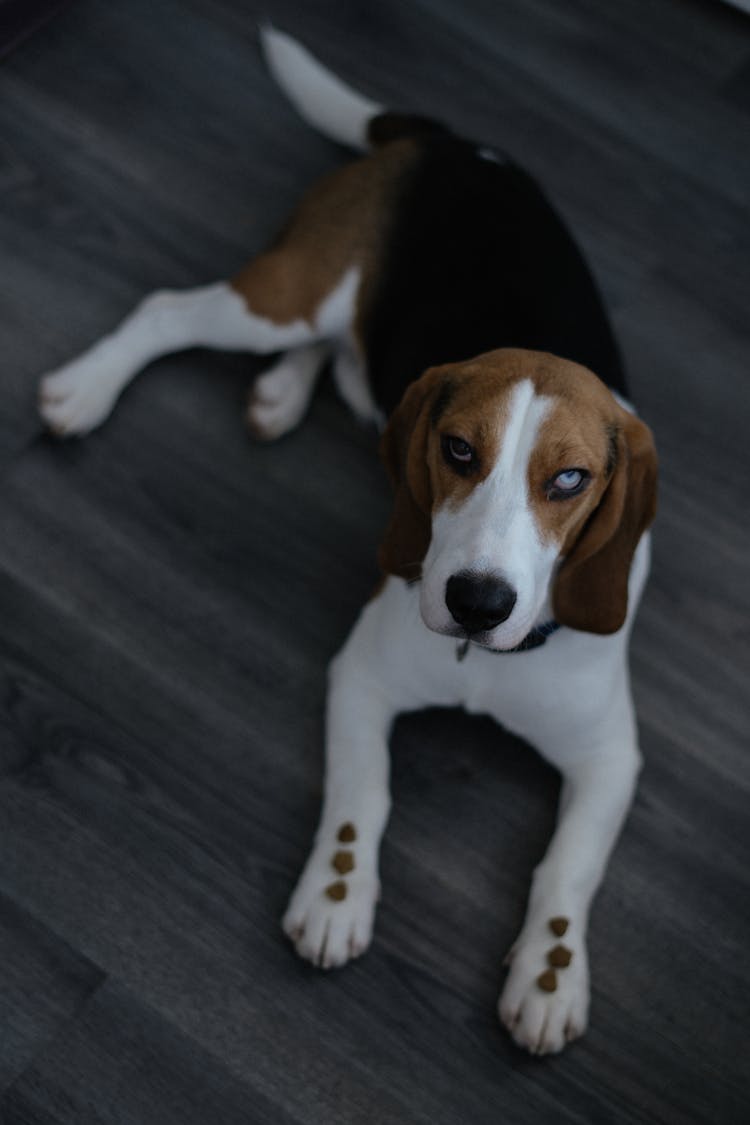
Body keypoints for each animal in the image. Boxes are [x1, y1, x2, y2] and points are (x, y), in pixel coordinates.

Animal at [36, 32, 656, 1053]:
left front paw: (552, 975)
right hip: (290, 293)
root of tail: (443, 139)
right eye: (459, 450)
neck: (480, 663)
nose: (476, 601)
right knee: (172, 308)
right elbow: (364, 793)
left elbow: (567, 866)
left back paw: (282, 392)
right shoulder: (361, 675)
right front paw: (336, 898)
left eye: (569, 481)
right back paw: (88, 388)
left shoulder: (610, 756)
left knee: (345, 365)